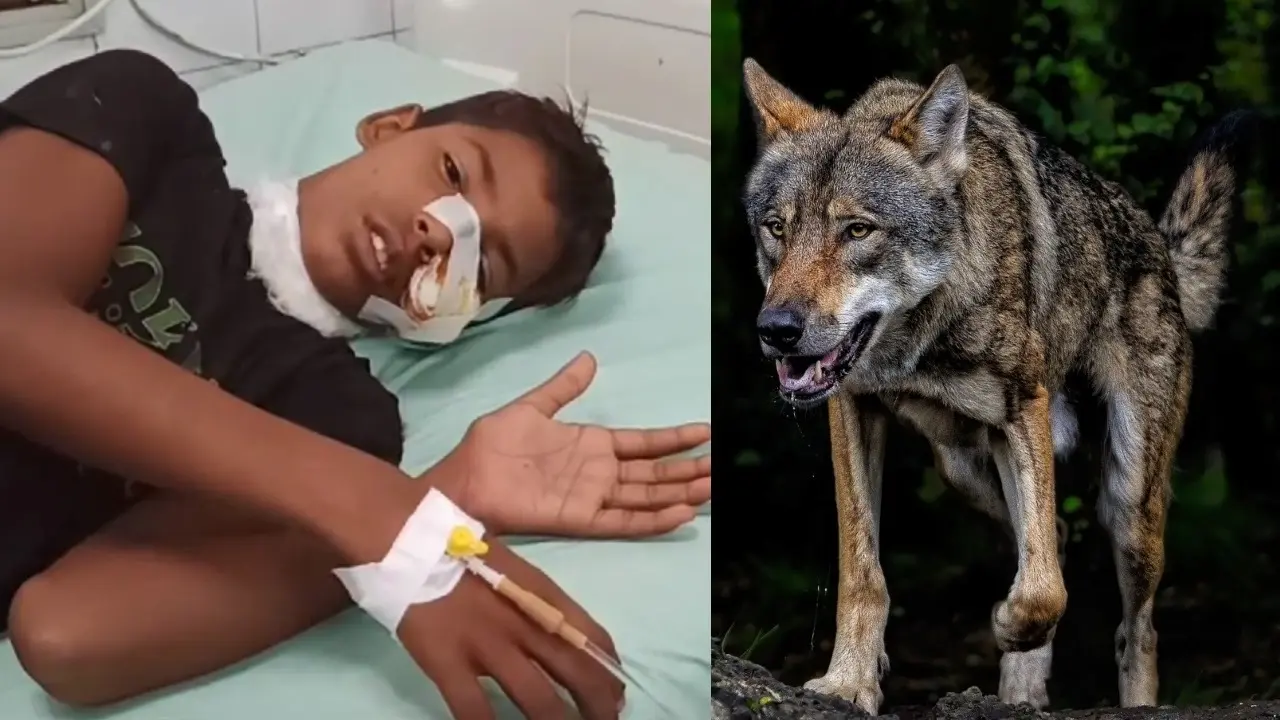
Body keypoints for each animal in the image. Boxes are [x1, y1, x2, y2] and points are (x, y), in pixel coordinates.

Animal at [740, 57, 1248, 714]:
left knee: (1133, 627)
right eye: (777, 228)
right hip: (963, 468)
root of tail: (1160, 248)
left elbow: (1044, 590)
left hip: (1130, 503)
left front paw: (1006, 625)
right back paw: (1021, 691)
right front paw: (850, 681)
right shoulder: (852, 409)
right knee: (1052, 537)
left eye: (857, 230)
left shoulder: (1021, 410)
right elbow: (863, 570)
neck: (921, 339)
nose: (777, 330)